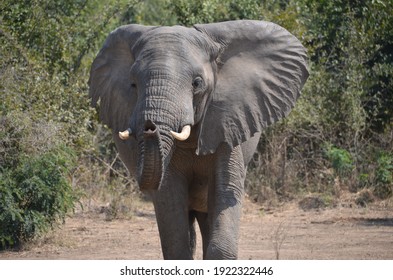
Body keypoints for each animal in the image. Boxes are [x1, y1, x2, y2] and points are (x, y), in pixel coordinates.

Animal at [87, 20, 308, 260]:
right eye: (133, 84)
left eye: (197, 83)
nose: (150, 127)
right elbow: (169, 197)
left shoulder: (227, 122)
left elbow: (226, 188)